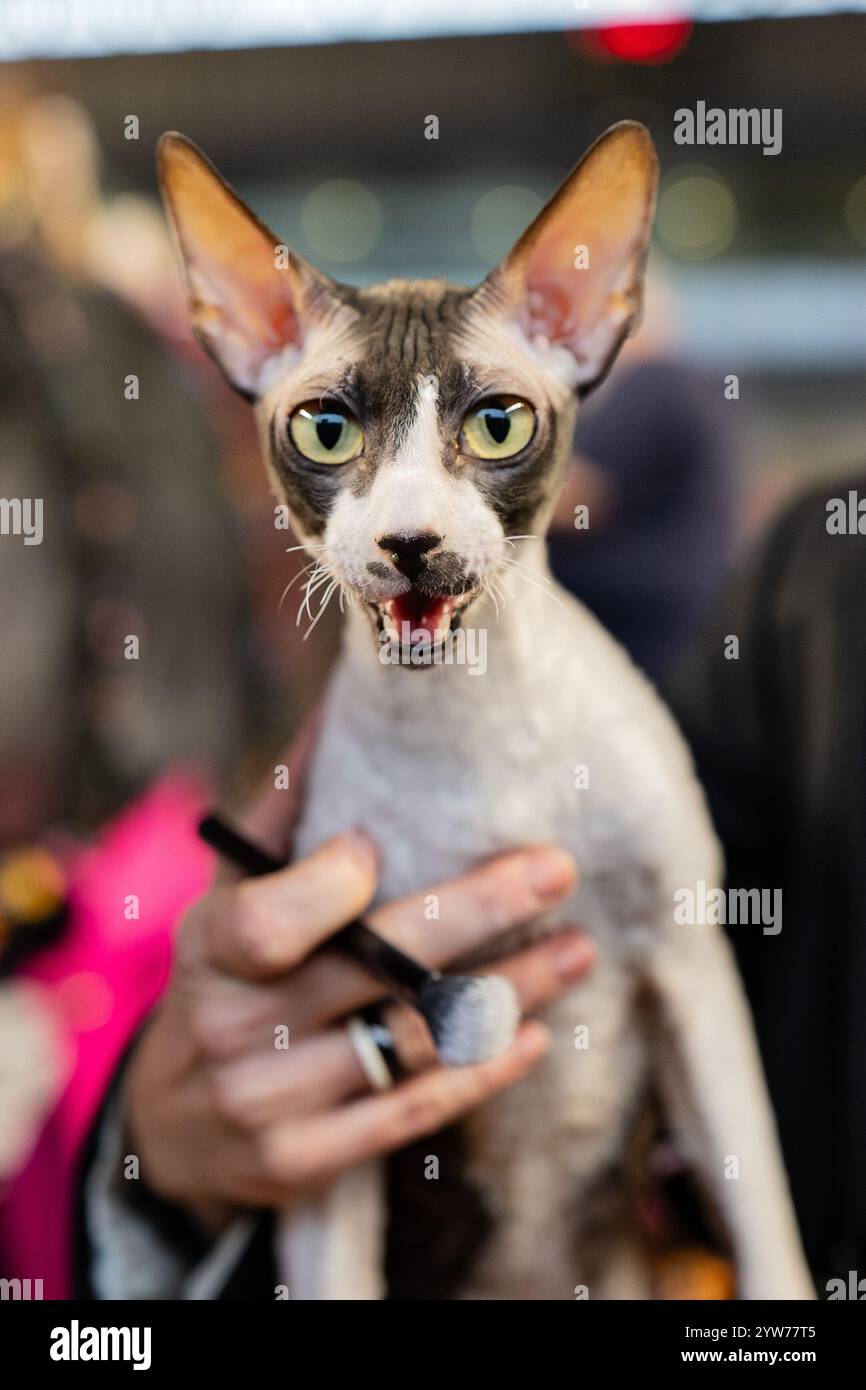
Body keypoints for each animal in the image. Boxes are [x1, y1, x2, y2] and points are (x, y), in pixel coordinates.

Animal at [157, 122, 811, 1301]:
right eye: (325, 431)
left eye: (497, 424)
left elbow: (763, 1226)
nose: (409, 540)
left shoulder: (692, 972)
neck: (472, 722)